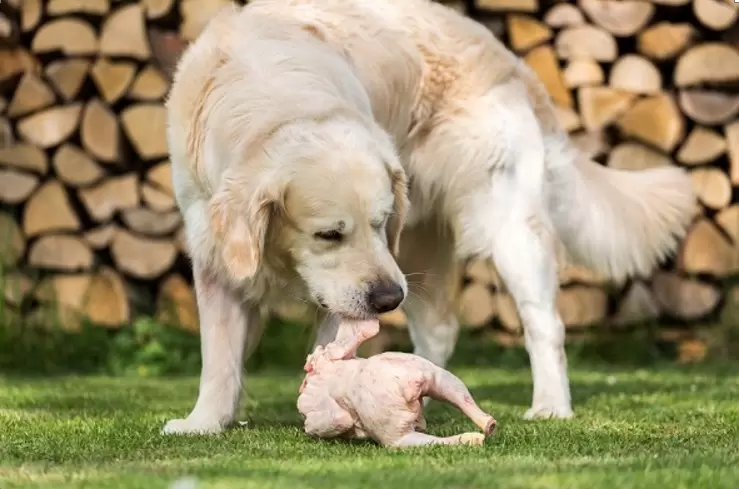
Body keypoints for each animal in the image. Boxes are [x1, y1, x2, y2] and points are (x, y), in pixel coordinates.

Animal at [163, 0, 700, 434]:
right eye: (328, 234)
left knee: (545, 323)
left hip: (504, 227)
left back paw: (549, 405)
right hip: (419, 245)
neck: (273, 98)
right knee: (440, 330)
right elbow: (220, 358)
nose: (387, 299)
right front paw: (204, 423)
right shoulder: (214, 252)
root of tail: (504, 55)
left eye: (379, 223)